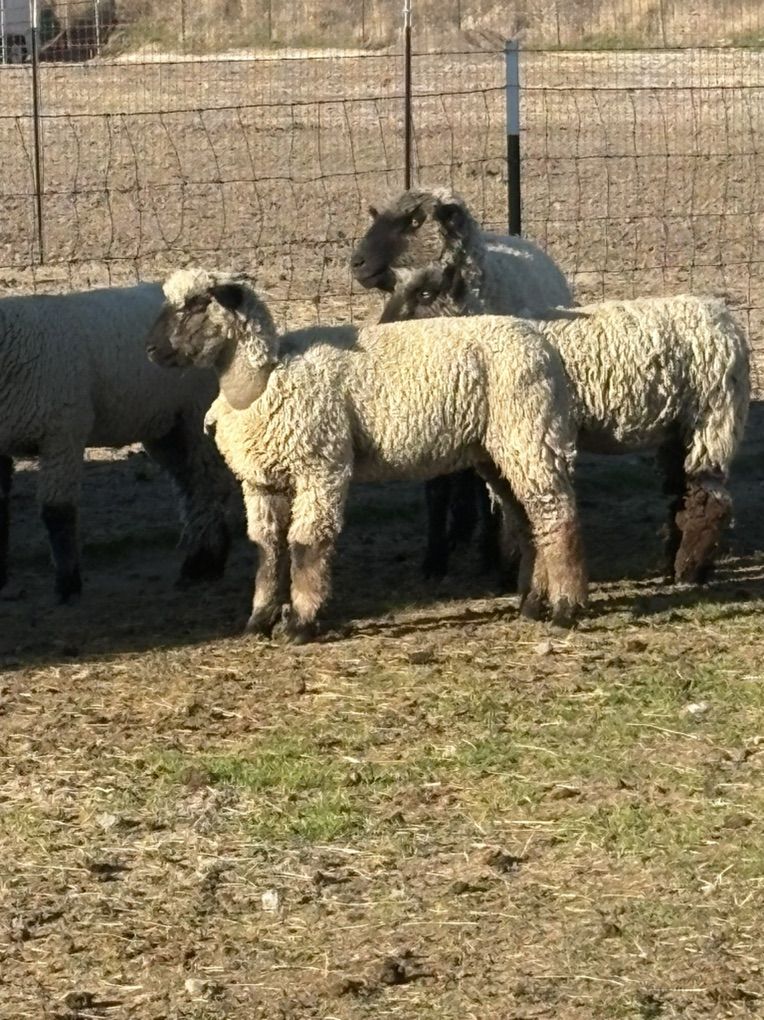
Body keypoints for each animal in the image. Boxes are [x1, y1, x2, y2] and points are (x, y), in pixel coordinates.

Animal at [0, 282, 232, 601]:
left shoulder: (63, 434)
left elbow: (57, 513)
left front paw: (68, 585)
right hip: (166, 427)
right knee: (190, 485)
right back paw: (198, 563)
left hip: (197, 414)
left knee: (209, 484)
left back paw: (208, 562)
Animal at [146, 268, 588, 643]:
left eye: (197, 303)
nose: (151, 350)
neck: (264, 380)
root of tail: (541, 342)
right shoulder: (259, 481)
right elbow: (267, 549)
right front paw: (259, 620)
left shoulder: (321, 466)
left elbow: (306, 545)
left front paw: (300, 623)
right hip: (497, 451)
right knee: (527, 521)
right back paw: (532, 603)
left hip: (530, 433)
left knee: (557, 514)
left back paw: (565, 609)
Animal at [352, 187, 574, 581]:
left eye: (415, 220)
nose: (356, 262)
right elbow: (437, 489)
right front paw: (435, 558)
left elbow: (486, 493)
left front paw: (490, 555)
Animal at [381, 264, 750, 584]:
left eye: (426, 294)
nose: (383, 324)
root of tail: (728, 322)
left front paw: (508, 571)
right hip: (680, 429)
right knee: (684, 496)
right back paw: (674, 565)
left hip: (711, 418)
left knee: (709, 501)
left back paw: (690, 570)